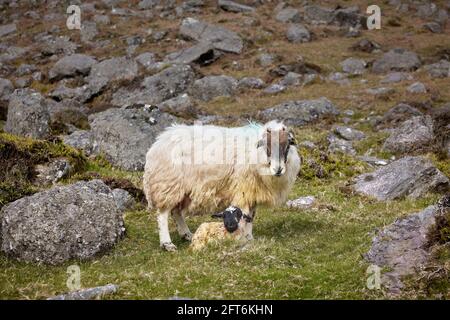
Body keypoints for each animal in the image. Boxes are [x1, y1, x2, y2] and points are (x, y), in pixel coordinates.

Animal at [142, 119, 300, 251]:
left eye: (287, 147)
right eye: (267, 148)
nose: (278, 170)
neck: (255, 153)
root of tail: (158, 142)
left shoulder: (252, 191)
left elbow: (250, 216)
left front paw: (249, 237)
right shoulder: (243, 189)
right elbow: (244, 215)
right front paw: (242, 238)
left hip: (183, 189)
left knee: (176, 212)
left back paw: (187, 234)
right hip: (167, 184)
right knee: (163, 214)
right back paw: (167, 244)